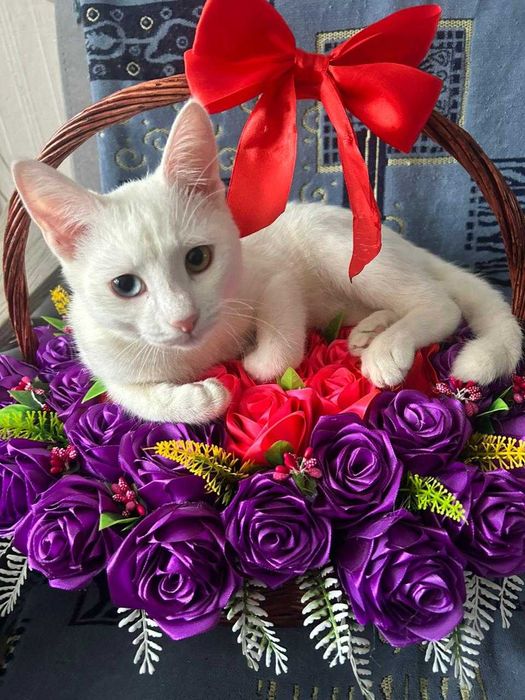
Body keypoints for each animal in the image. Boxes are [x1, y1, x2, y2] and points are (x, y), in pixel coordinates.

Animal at [12, 100, 523, 424]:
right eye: (124, 286)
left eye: (198, 259)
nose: (184, 320)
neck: (198, 352)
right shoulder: (105, 357)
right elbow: (131, 398)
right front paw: (197, 400)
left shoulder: (275, 276)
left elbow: (275, 347)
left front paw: (252, 362)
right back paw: (370, 330)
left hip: (338, 249)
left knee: (439, 304)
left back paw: (386, 348)